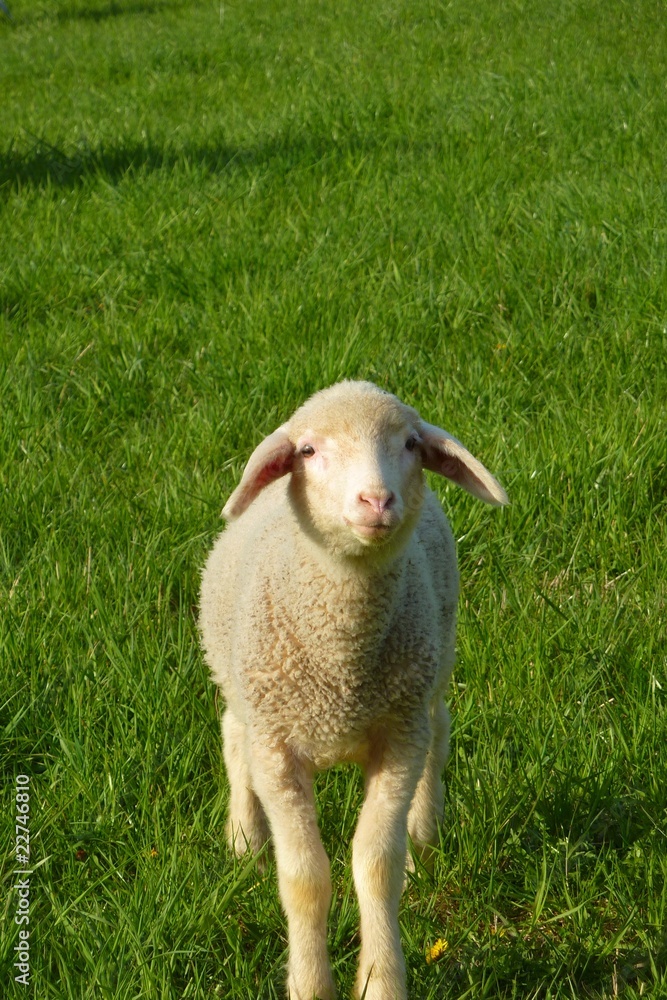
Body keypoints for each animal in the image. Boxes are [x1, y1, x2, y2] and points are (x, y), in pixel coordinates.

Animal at [199, 380, 508, 1000]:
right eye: (309, 451)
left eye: (410, 444)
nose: (376, 501)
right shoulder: (277, 749)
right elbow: (305, 878)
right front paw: (311, 984)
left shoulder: (399, 737)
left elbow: (375, 865)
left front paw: (380, 980)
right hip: (244, 685)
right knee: (232, 735)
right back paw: (245, 840)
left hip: (433, 665)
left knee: (440, 730)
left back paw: (424, 835)